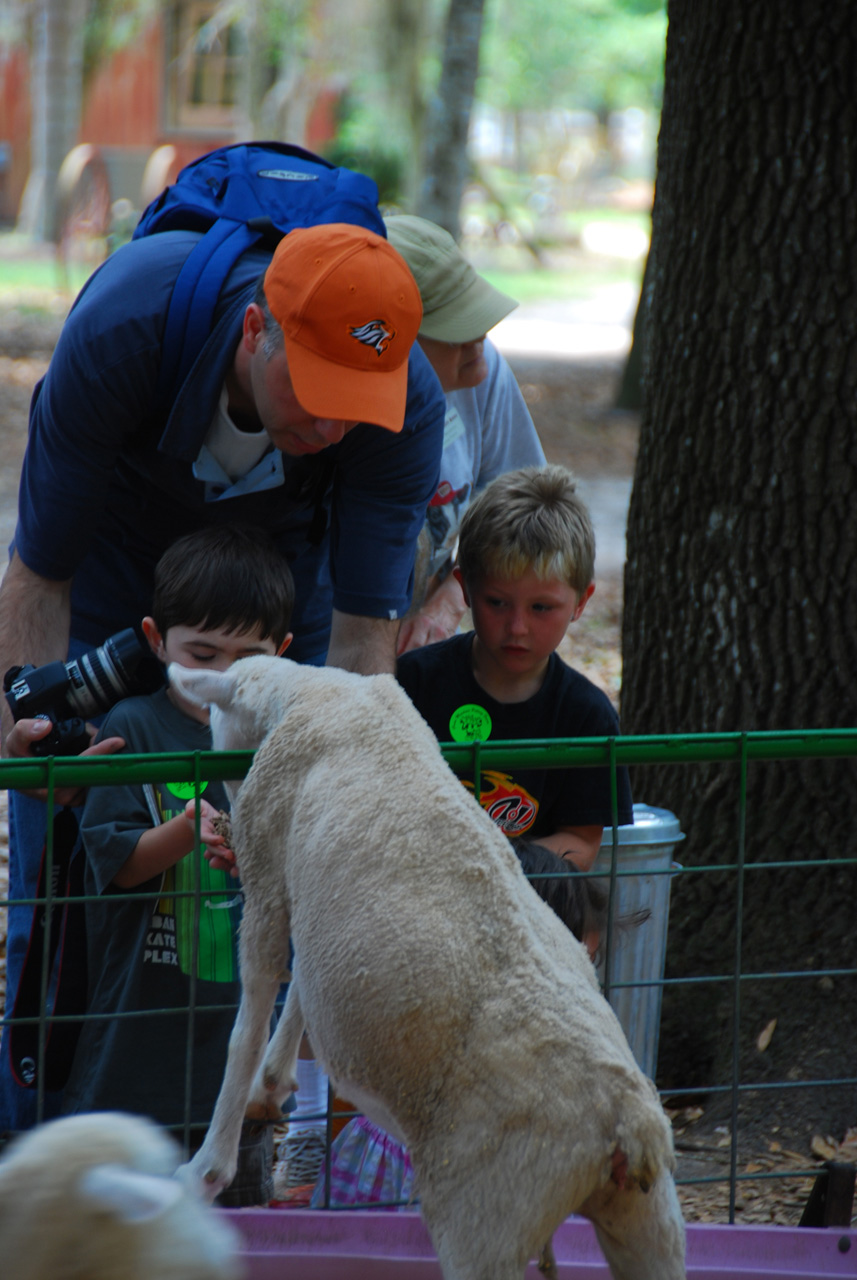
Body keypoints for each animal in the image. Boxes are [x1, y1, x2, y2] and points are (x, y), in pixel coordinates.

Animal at [171, 660, 690, 1280]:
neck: (315, 693)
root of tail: (628, 1121)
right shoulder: (316, 905)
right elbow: (301, 985)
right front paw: (274, 1080)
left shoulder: (270, 876)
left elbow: (249, 1018)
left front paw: (208, 1165)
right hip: (646, 1217)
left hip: (488, 1214)